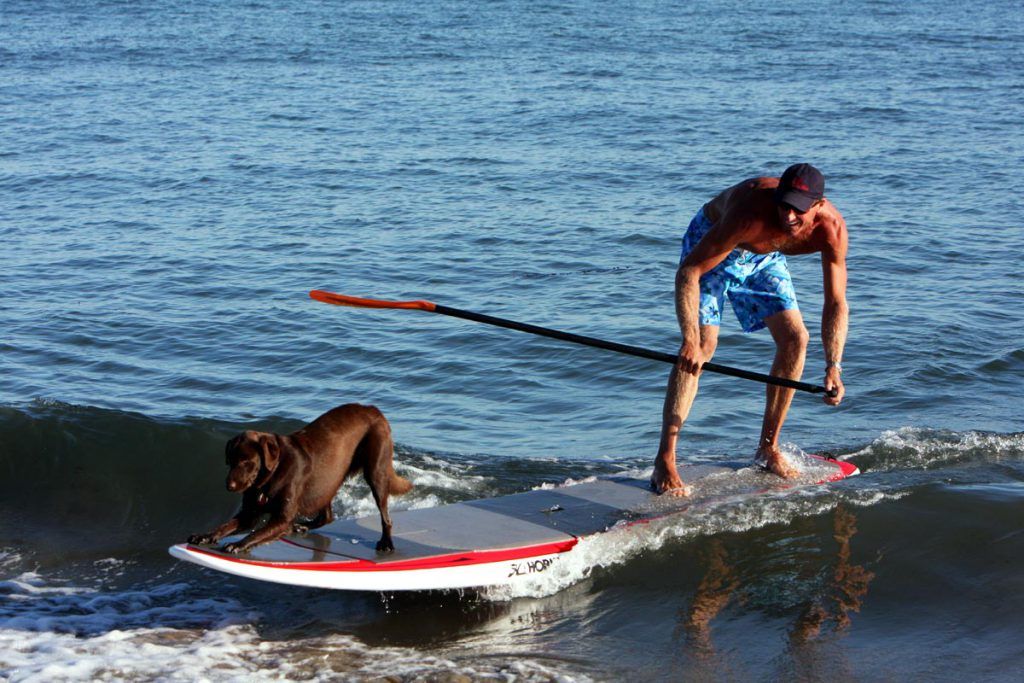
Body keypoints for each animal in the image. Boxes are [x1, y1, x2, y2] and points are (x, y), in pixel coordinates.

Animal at [186, 405, 409, 557]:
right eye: (230, 460)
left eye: (246, 462)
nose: (229, 486)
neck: (271, 476)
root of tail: (372, 408)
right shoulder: (249, 514)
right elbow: (224, 526)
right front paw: (204, 536)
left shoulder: (281, 519)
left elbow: (256, 533)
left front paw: (238, 544)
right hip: (326, 480)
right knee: (327, 517)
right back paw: (302, 527)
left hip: (375, 472)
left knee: (385, 516)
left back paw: (386, 543)